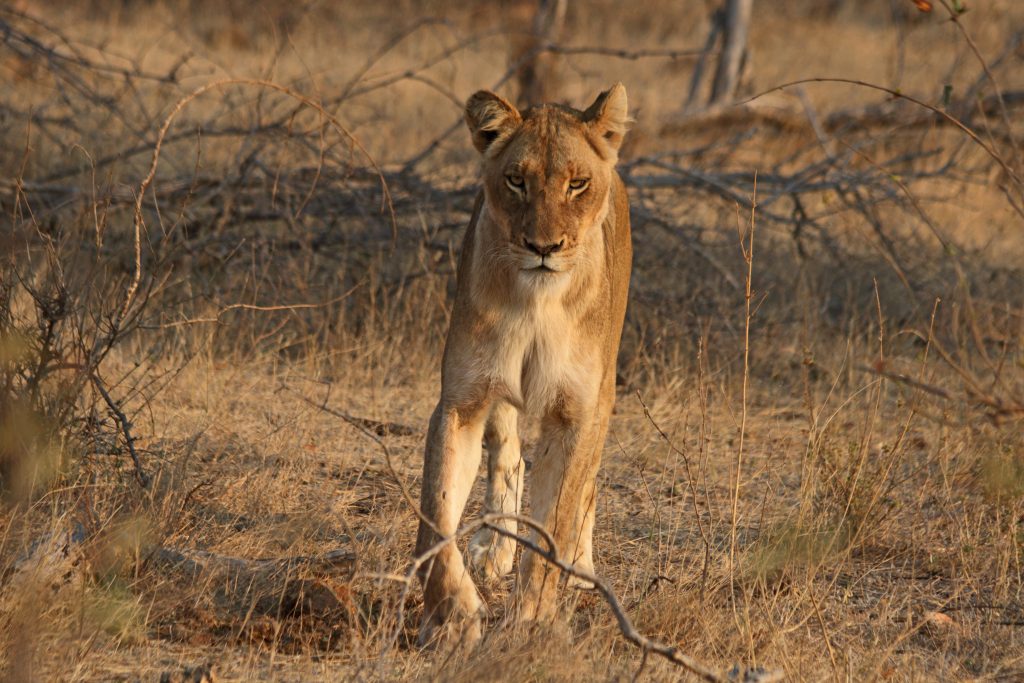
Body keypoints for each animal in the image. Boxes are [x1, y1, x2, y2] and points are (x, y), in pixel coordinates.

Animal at [415, 83, 632, 646]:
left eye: (577, 184)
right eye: (516, 180)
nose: (543, 247)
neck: (537, 301)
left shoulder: (577, 411)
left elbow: (556, 519)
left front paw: (531, 620)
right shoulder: (462, 400)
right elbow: (436, 512)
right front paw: (453, 613)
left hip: (606, 390)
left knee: (588, 485)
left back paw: (581, 566)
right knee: (508, 457)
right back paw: (496, 550)